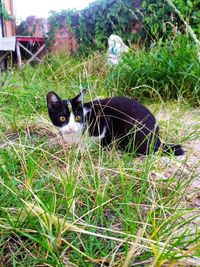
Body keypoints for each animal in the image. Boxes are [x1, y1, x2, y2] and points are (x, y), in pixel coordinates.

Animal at [46, 90, 184, 156]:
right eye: (62, 118)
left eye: (78, 117)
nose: (71, 128)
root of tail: (158, 140)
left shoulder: (103, 120)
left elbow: (90, 140)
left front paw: (82, 150)